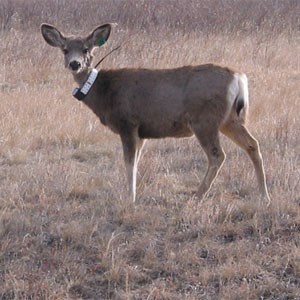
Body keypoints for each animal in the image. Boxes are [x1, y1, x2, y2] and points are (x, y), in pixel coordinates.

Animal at [41, 22, 270, 203]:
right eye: (64, 49)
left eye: (86, 49)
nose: (75, 64)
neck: (104, 92)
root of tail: (238, 77)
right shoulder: (142, 132)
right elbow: (136, 162)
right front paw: (133, 194)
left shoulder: (128, 123)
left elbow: (129, 163)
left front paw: (130, 198)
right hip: (230, 119)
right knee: (252, 144)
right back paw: (264, 196)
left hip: (205, 120)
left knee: (217, 155)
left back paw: (198, 195)